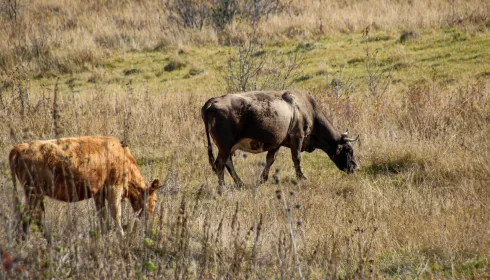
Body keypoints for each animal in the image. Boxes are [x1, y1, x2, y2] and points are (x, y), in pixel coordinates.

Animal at [8, 137, 161, 235]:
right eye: (154, 200)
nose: (151, 220)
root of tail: (18, 147)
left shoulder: (99, 193)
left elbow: (102, 215)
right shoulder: (114, 188)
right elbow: (116, 213)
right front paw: (121, 235)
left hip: (36, 195)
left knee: (36, 216)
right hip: (34, 193)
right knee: (28, 216)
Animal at [201, 89, 358, 190]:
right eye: (348, 150)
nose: (356, 167)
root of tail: (212, 102)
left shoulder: (277, 143)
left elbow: (270, 159)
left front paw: (263, 179)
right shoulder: (297, 137)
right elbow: (296, 158)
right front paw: (302, 178)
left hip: (228, 146)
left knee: (227, 163)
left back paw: (240, 183)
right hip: (225, 145)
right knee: (220, 164)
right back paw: (222, 187)